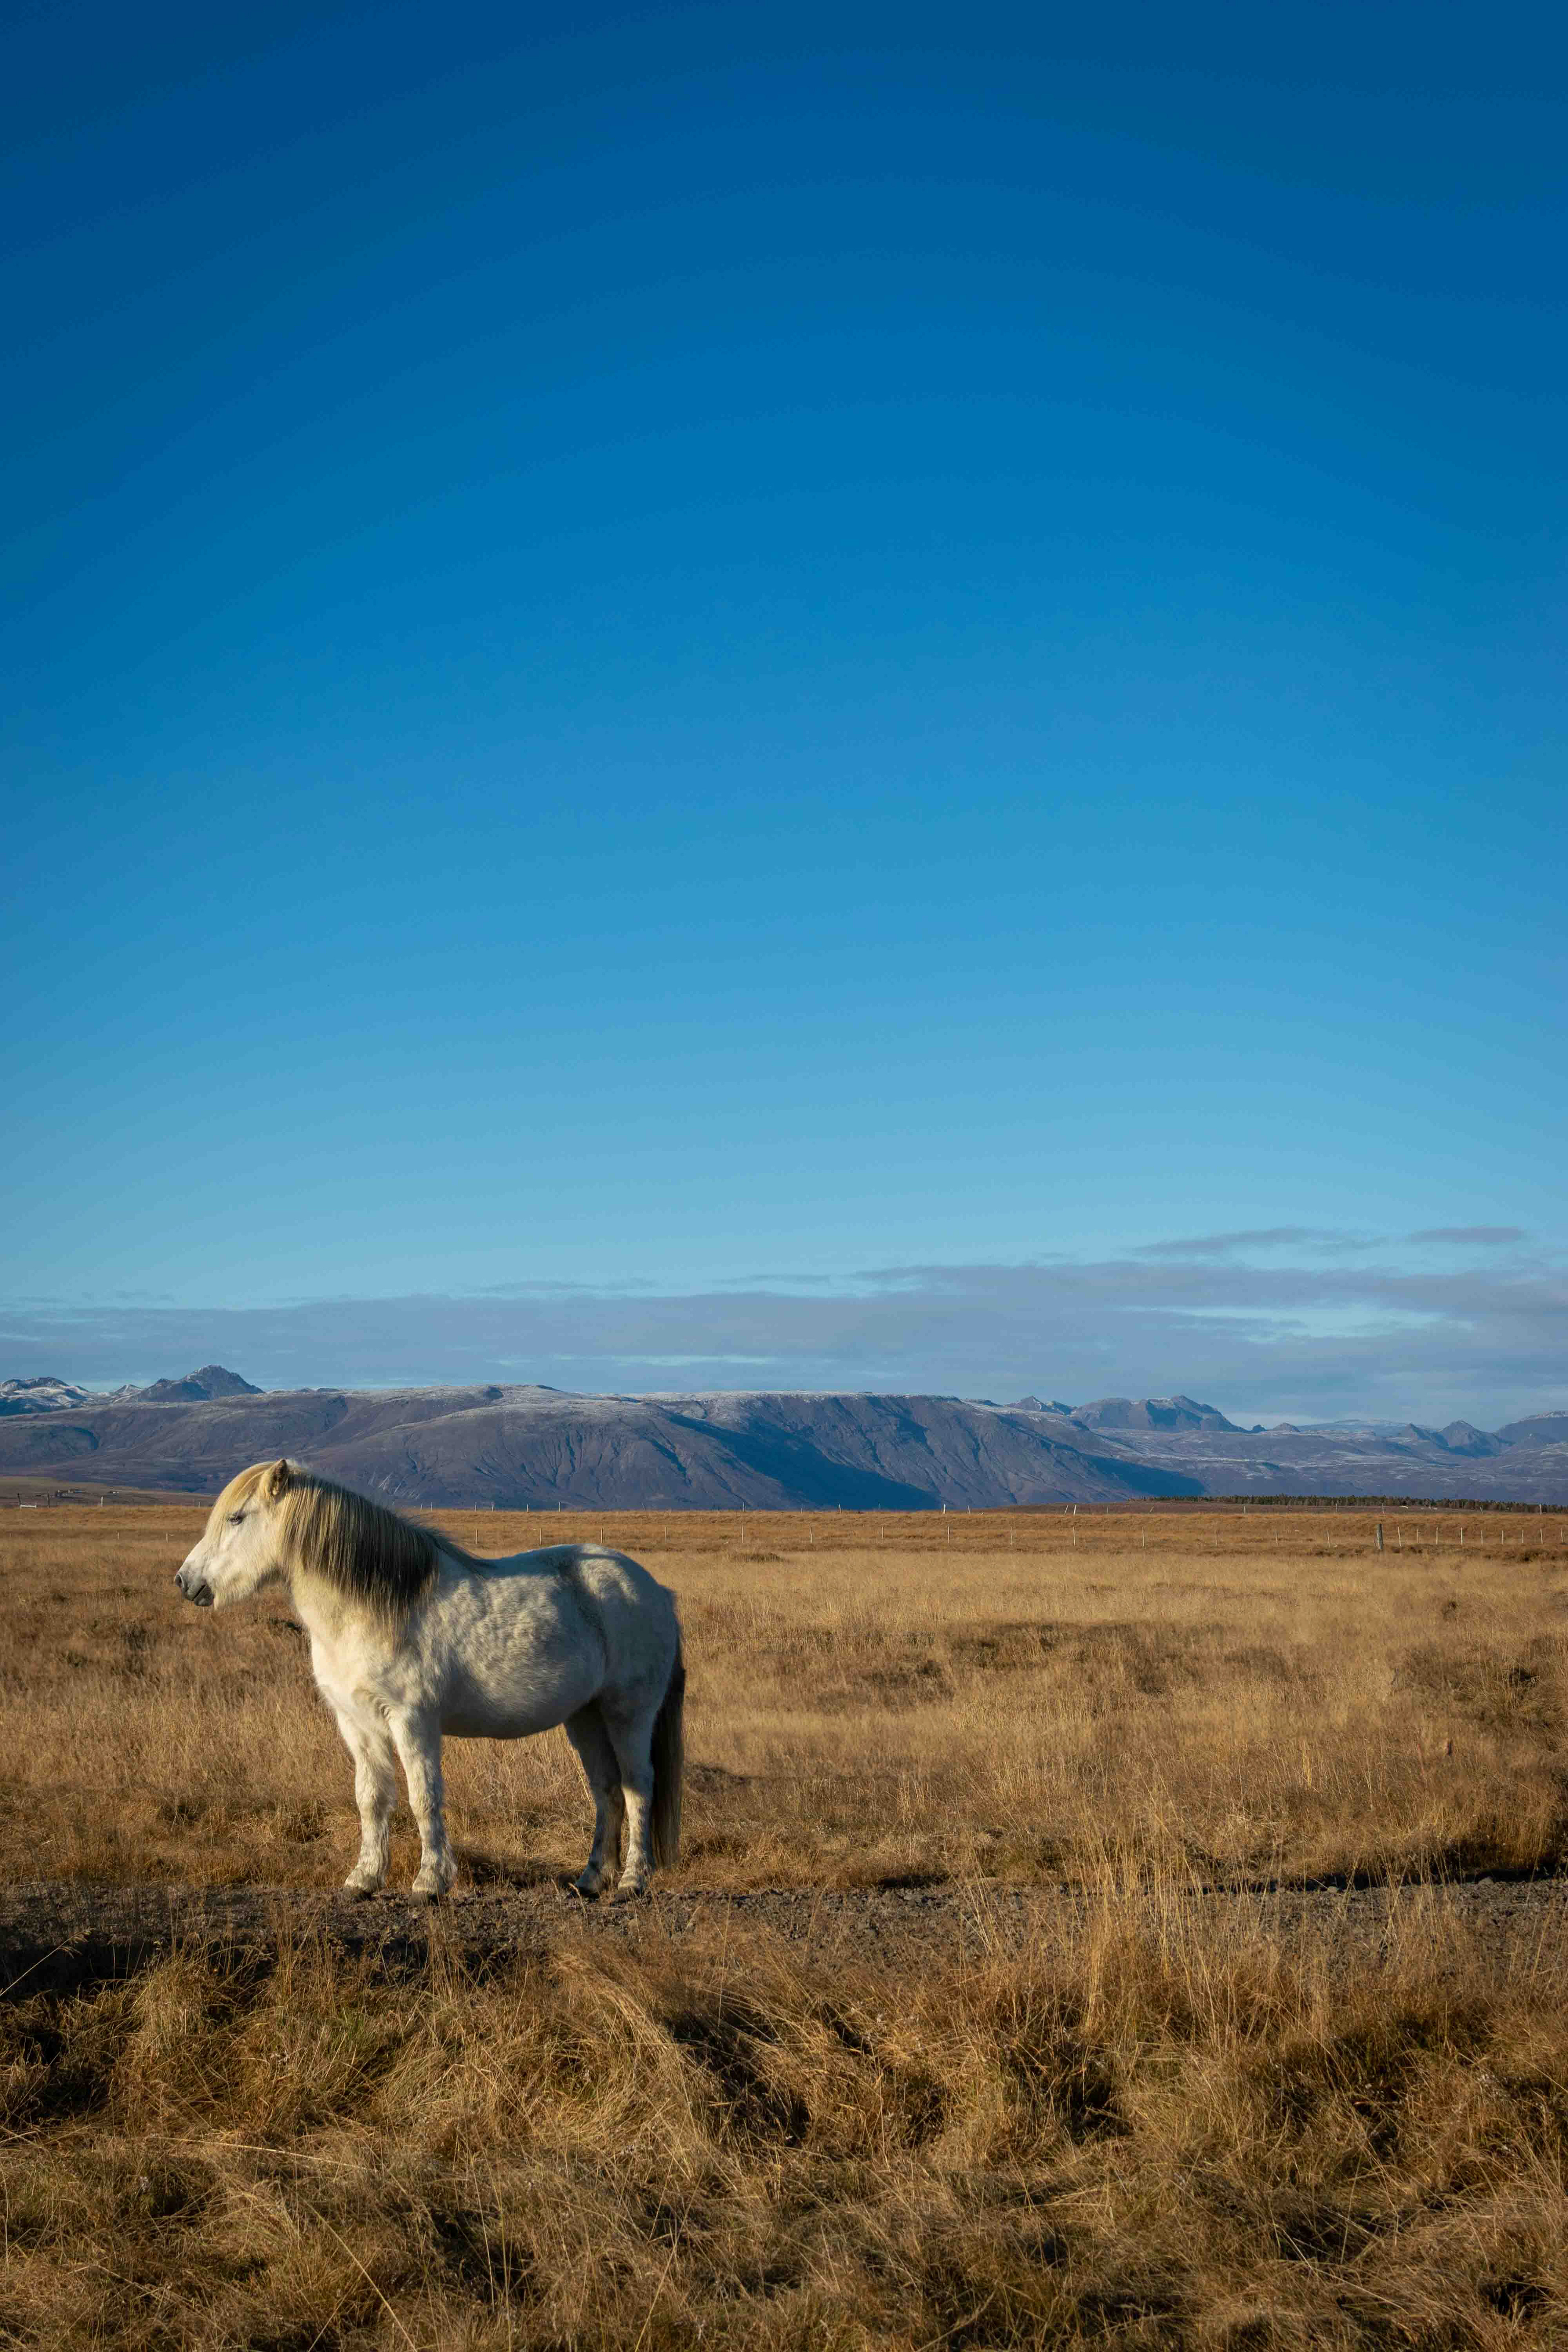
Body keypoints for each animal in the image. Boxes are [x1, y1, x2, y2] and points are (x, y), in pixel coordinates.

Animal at [174, 1459, 684, 1902]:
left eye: (237, 1518)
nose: (185, 1581)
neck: (370, 1610)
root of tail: (654, 1590)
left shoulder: (411, 1720)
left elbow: (423, 1797)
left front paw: (430, 1883)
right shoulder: (357, 1724)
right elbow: (371, 1799)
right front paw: (363, 1880)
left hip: (628, 1715)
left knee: (638, 1786)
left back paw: (632, 1882)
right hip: (585, 1717)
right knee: (606, 1790)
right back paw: (591, 1880)